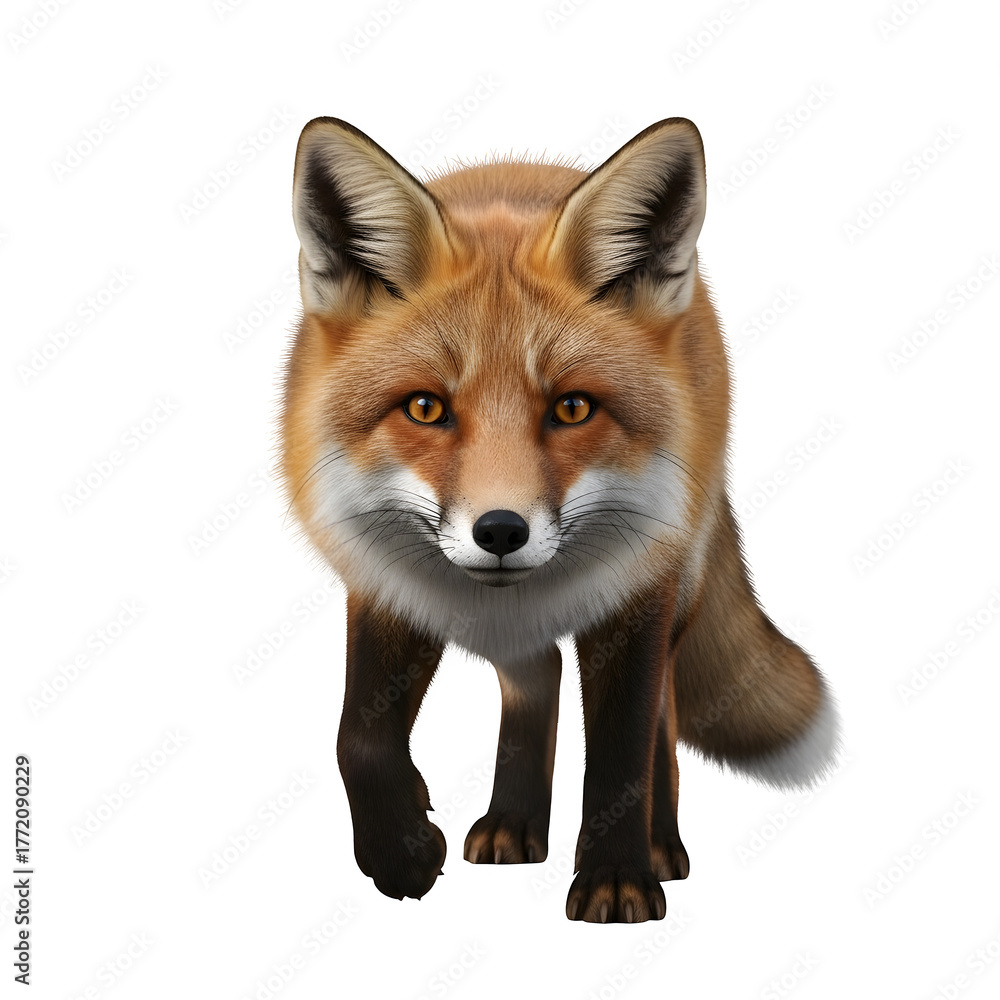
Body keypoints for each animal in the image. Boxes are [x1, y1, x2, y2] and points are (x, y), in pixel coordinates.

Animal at [278, 116, 840, 923]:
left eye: (572, 408)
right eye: (425, 407)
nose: (500, 532)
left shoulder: (636, 594)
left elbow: (620, 748)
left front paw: (615, 879)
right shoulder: (383, 583)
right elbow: (358, 738)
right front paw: (401, 850)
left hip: (674, 587)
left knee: (661, 719)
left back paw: (660, 846)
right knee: (536, 672)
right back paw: (514, 821)